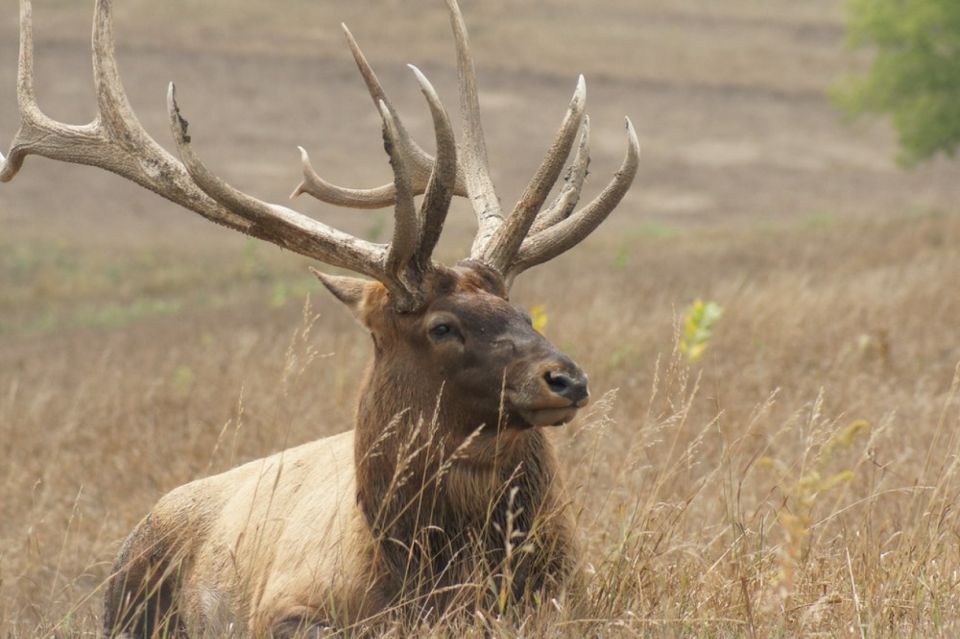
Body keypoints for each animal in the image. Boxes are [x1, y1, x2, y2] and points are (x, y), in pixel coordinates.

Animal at [5, 0, 644, 636]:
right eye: (441, 326)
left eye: (519, 309)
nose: (565, 378)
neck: (428, 580)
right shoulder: (288, 608)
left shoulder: (572, 594)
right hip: (126, 596)